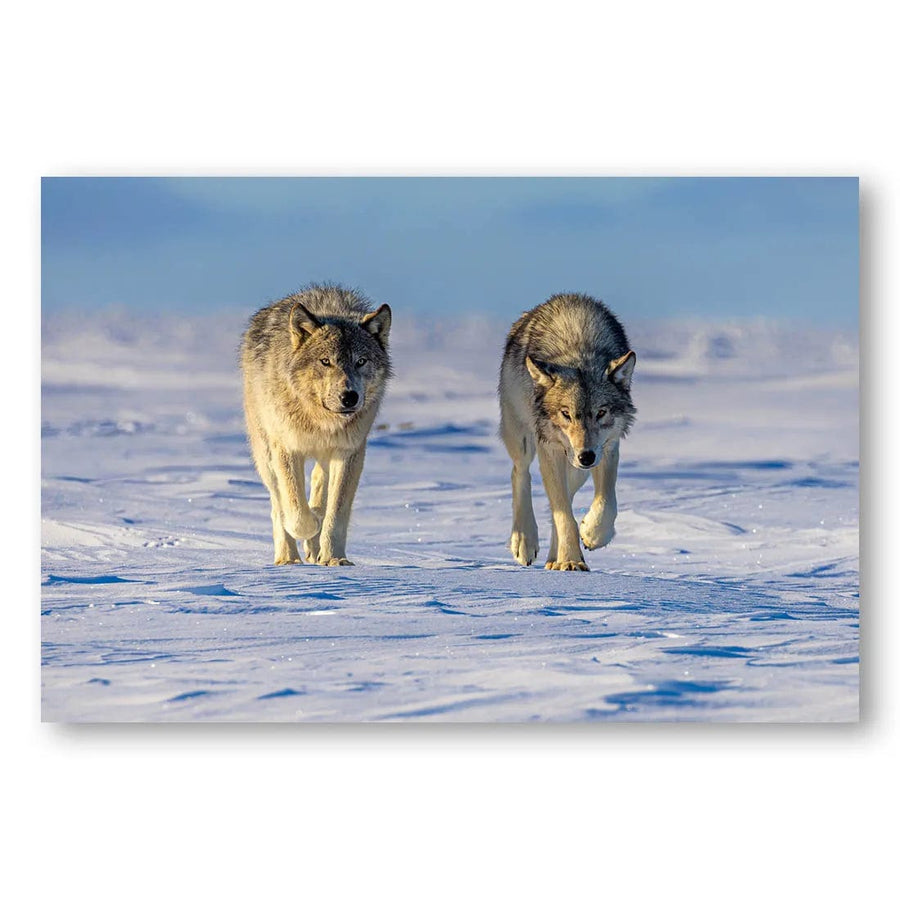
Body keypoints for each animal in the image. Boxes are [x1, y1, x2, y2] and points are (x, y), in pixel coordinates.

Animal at [240, 284, 392, 566]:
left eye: (361, 361)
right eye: (325, 361)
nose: (349, 396)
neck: (320, 421)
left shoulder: (349, 453)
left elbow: (336, 514)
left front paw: (335, 557)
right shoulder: (287, 449)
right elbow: (298, 515)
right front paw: (311, 529)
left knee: (318, 480)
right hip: (265, 455)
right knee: (278, 503)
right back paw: (288, 557)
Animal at [498, 293, 636, 571]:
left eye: (601, 413)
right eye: (566, 414)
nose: (586, 456)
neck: (579, 351)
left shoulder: (608, 447)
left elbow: (606, 502)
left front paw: (592, 535)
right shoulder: (549, 449)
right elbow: (563, 513)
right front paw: (572, 559)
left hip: (576, 468)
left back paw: (554, 558)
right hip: (522, 438)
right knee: (520, 473)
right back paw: (524, 541)